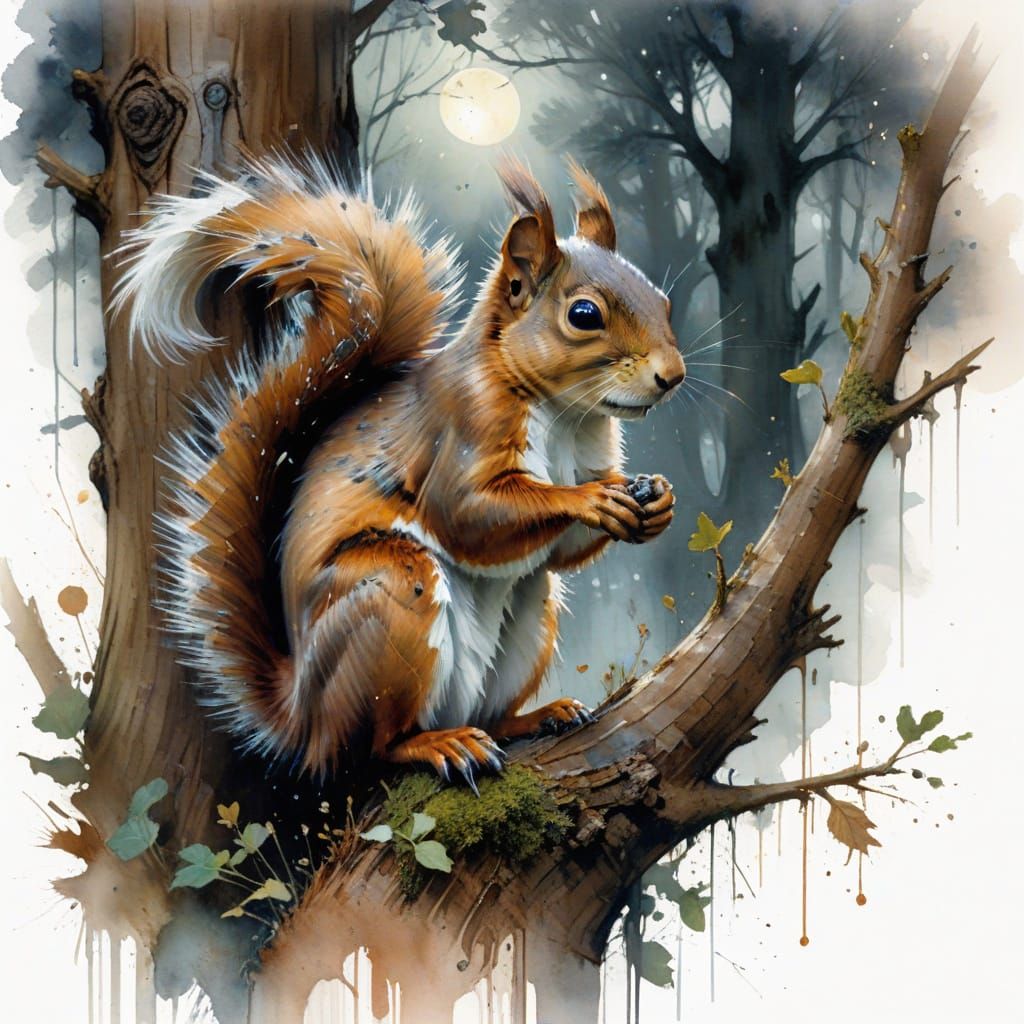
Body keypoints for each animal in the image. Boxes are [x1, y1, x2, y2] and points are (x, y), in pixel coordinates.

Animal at [114, 153, 685, 788]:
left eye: (662, 301)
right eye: (584, 314)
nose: (673, 376)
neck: (566, 414)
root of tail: (302, 717)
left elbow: (561, 553)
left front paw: (657, 501)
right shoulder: (462, 429)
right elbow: (467, 515)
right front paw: (590, 499)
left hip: (528, 617)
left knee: (497, 691)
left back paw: (536, 716)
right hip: (389, 601)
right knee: (375, 748)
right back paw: (438, 745)